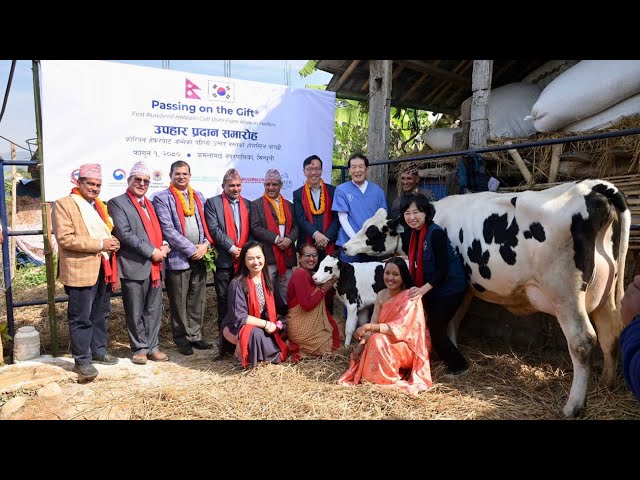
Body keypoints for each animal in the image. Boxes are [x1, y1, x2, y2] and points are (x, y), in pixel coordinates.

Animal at [342, 178, 628, 418]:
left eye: (372, 231)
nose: (345, 246)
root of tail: (590, 187)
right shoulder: (467, 287)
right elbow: (454, 320)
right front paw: (454, 353)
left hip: (565, 295)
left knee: (582, 342)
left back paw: (573, 406)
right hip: (605, 295)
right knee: (610, 333)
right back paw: (607, 383)